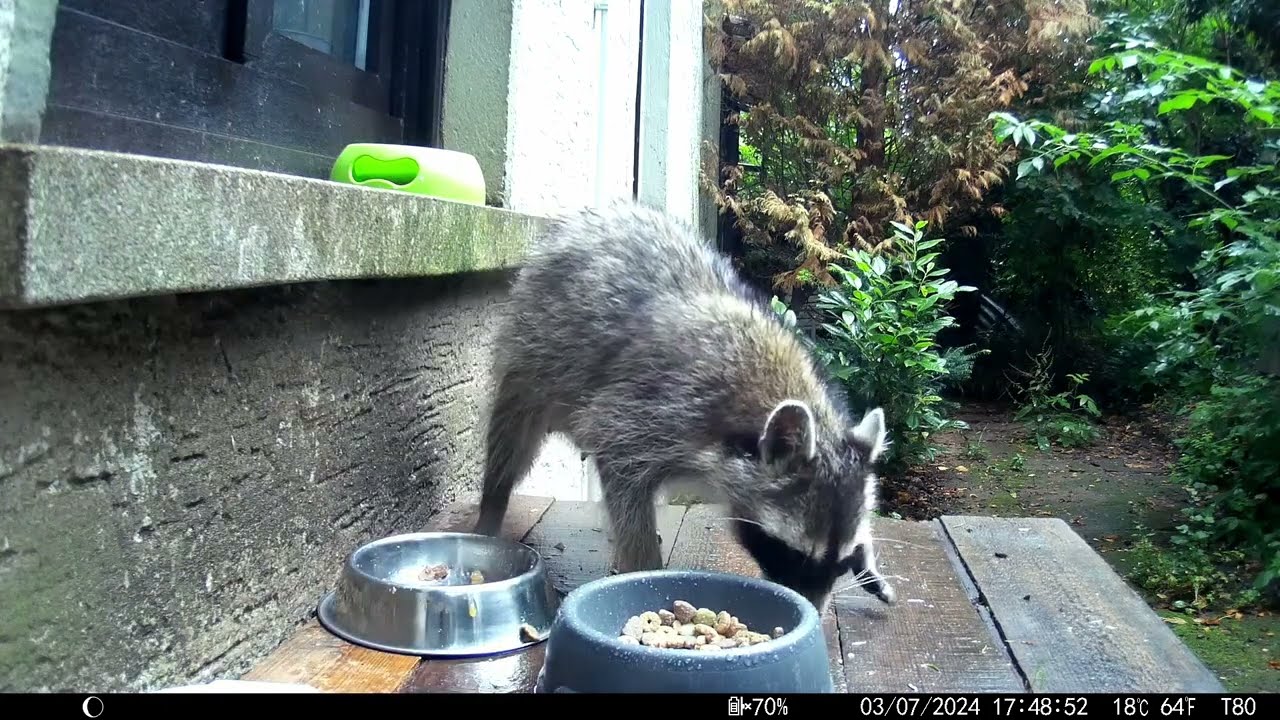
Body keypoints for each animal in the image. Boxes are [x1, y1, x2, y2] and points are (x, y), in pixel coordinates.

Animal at [472, 202, 896, 613]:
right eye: (795, 554)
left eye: (840, 563)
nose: (814, 613)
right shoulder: (658, 405)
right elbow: (621, 467)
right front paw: (644, 569)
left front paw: (868, 559)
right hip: (531, 351)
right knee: (512, 439)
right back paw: (493, 503)